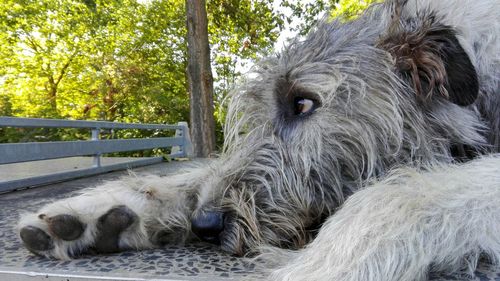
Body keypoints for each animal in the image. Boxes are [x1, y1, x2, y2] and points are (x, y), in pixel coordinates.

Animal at [16, 1, 500, 278]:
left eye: (302, 103)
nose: (205, 226)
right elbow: (198, 176)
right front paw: (100, 211)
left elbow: (398, 196)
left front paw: (318, 266)